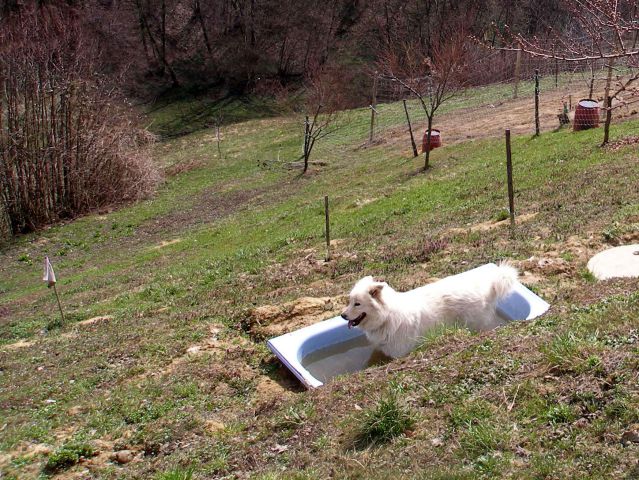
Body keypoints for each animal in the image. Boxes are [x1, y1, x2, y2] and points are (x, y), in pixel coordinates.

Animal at [342, 262, 516, 360]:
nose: (343, 315)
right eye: (349, 301)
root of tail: (487, 288)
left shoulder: (399, 354)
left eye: (357, 304)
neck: (386, 317)